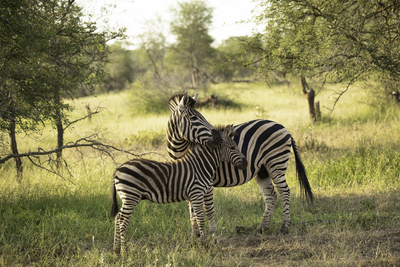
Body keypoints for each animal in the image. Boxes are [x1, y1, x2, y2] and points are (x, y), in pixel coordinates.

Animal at [109, 124, 247, 254]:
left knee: (118, 218)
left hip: (127, 197)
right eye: (233, 148)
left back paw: (116, 249)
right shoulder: (197, 194)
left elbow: (193, 219)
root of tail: (118, 168)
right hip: (131, 196)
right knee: (123, 220)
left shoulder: (192, 196)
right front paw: (204, 244)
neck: (200, 166)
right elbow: (201, 220)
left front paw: (195, 243)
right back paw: (124, 251)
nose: (246, 163)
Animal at [167, 93, 314, 236]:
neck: (181, 151)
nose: (218, 138)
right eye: (193, 117)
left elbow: (207, 208)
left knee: (284, 192)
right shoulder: (187, 182)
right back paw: (261, 228)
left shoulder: (205, 181)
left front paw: (212, 234)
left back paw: (284, 227)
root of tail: (284, 128)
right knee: (271, 195)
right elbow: (192, 210)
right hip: (263, 170)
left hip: (276, 163)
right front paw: (195, 235)